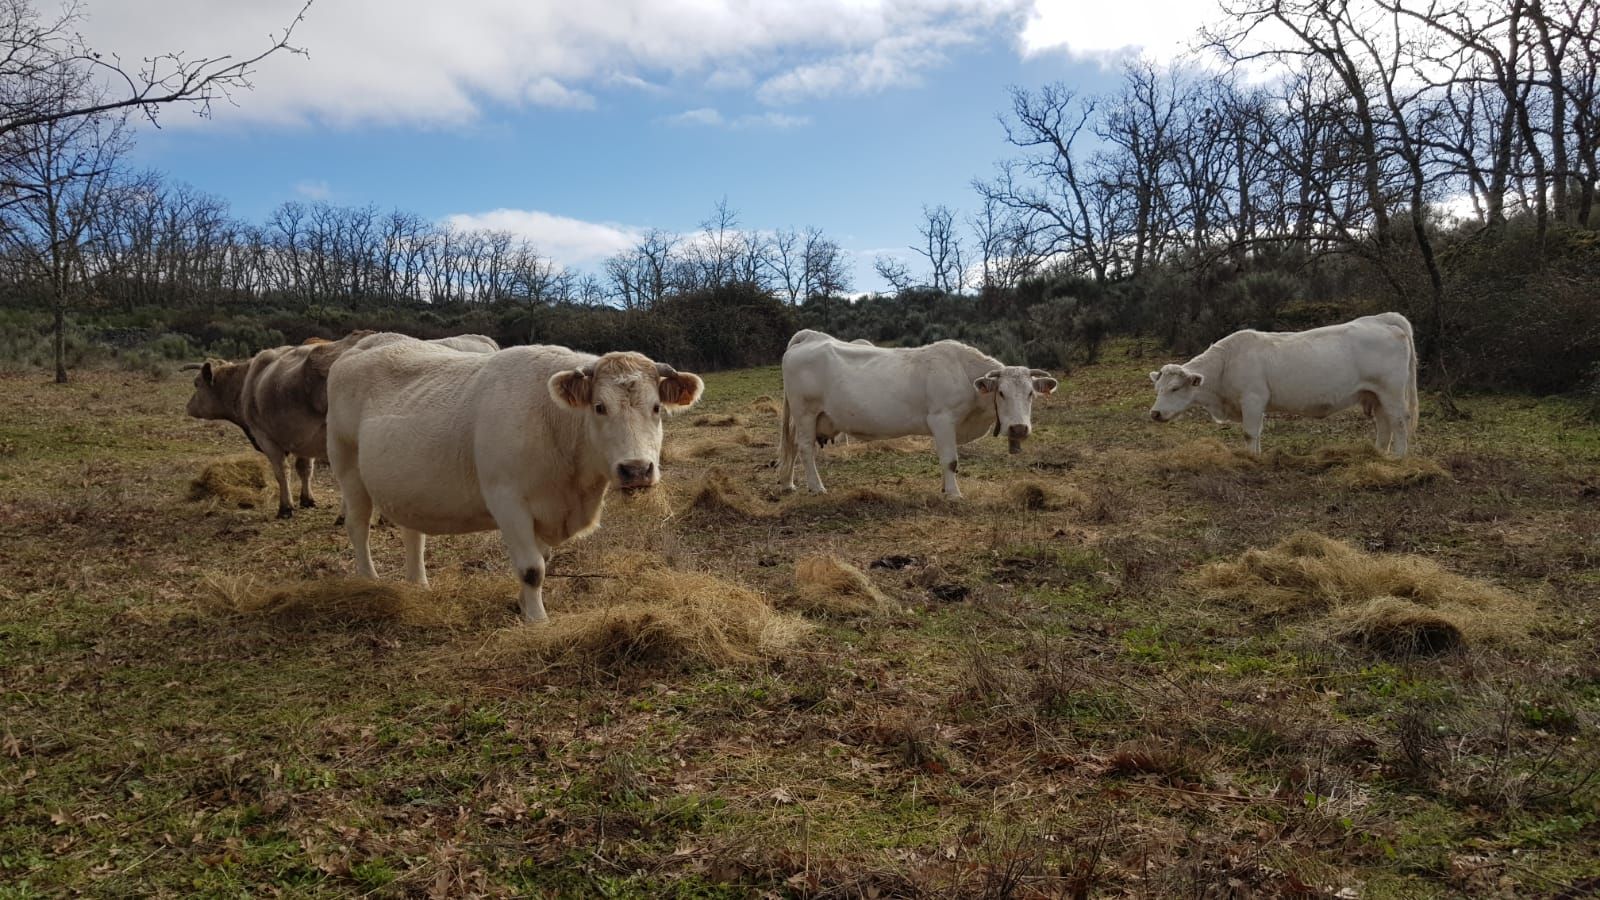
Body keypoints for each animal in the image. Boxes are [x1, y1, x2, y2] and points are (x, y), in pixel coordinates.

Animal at [325, 337, 704, 623]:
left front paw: (523, 606)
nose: (637, 469)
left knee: (412, 534)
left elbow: (542, 561)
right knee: (358, 526)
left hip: (407, 486)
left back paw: (418, 584)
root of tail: (359, 347)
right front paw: (537, 620)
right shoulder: (507, 501)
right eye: (599, 407)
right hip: (347, 467)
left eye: (656, 407)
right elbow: (532, 568)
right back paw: (369, 580)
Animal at [779, 330, 1057, 498]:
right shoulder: (942, 419)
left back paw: (788, 483)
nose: (1019, 428)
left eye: (1031, 394)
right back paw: (816, 487)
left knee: (791, 445)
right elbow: (951, 460)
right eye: (1001, 393)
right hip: (805, 412)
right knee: (805, 448)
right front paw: (954, 494)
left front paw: (946, 488)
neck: (963, 372)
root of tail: (812, 337)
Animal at [1147, 312, 1419, 457]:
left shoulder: (1252, 399)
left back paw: (1397, 458)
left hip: (1392, 392)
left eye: (1174, 388)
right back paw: (1378, 454)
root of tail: (1379, 319)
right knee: (1384, 424)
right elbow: (1256, 434)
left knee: (1398, 421)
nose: (1155, 413)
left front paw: (1250, 458)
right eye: (1158, 389)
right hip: (1375, 394)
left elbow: (1249, 432)